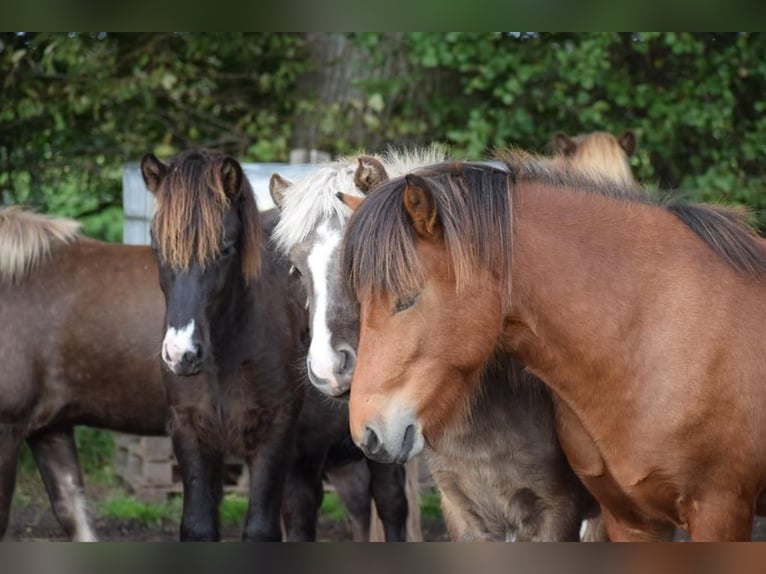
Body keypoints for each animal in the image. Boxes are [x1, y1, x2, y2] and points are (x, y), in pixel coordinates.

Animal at [138, 150, 414, 544]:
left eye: (225, 249)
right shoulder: (191, 434)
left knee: (391, 506)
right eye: (157, 248)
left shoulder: (274, 439)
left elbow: (261, 530)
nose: (182, 354)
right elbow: (198, 526)